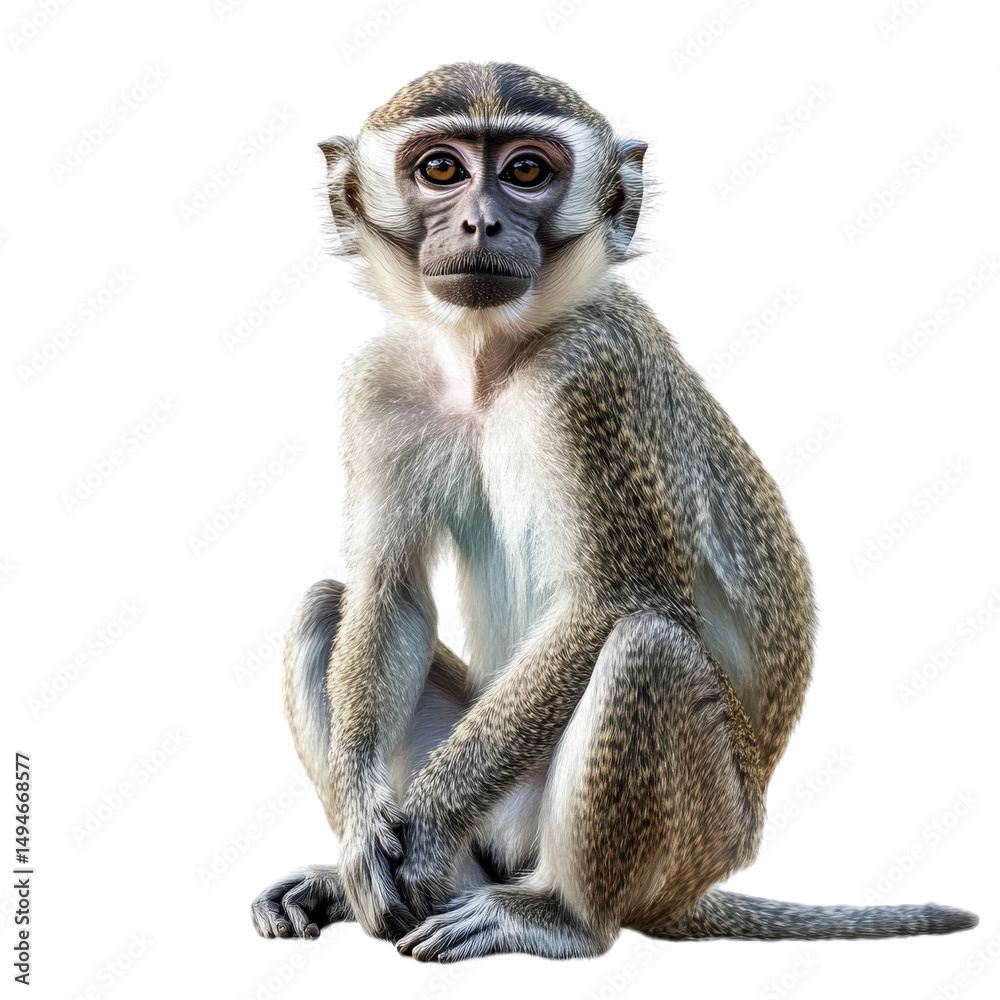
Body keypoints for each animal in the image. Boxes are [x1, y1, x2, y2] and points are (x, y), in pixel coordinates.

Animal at [250, 62, 978, 961]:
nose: (482, 221)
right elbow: (389, 592)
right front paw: (362, 839)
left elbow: (609, 604)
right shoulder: (382, 385)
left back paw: (557, 915)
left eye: (527, 171)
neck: (491, 358)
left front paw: (422, 835)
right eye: (441, 169)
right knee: (327, 603)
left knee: (647, 646)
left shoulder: (596, 377)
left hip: (699, 831)